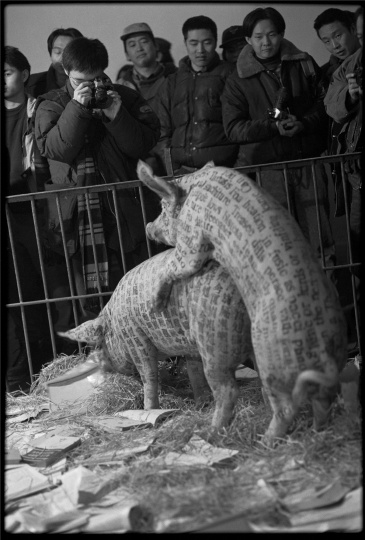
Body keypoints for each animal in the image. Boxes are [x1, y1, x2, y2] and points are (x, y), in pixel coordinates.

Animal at [59, 249, 253, 430]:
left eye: (100, 345)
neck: (114, 323)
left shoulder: (136, 337)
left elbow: (149, 375)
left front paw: (149, 410)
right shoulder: (190, 348)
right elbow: (194, 373)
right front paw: (201, 404)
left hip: (214, 337)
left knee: (228, 390)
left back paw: (212, 429)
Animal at [135, 158, 346, 446]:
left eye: (163, 207)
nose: (147, 226)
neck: (197, 185)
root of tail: (324, 348)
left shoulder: (192, 235)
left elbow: (180, 263)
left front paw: (154, 303)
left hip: (268, 361)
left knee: (269, 403)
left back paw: (257, 440)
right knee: (323, 402)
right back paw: (315, 431)